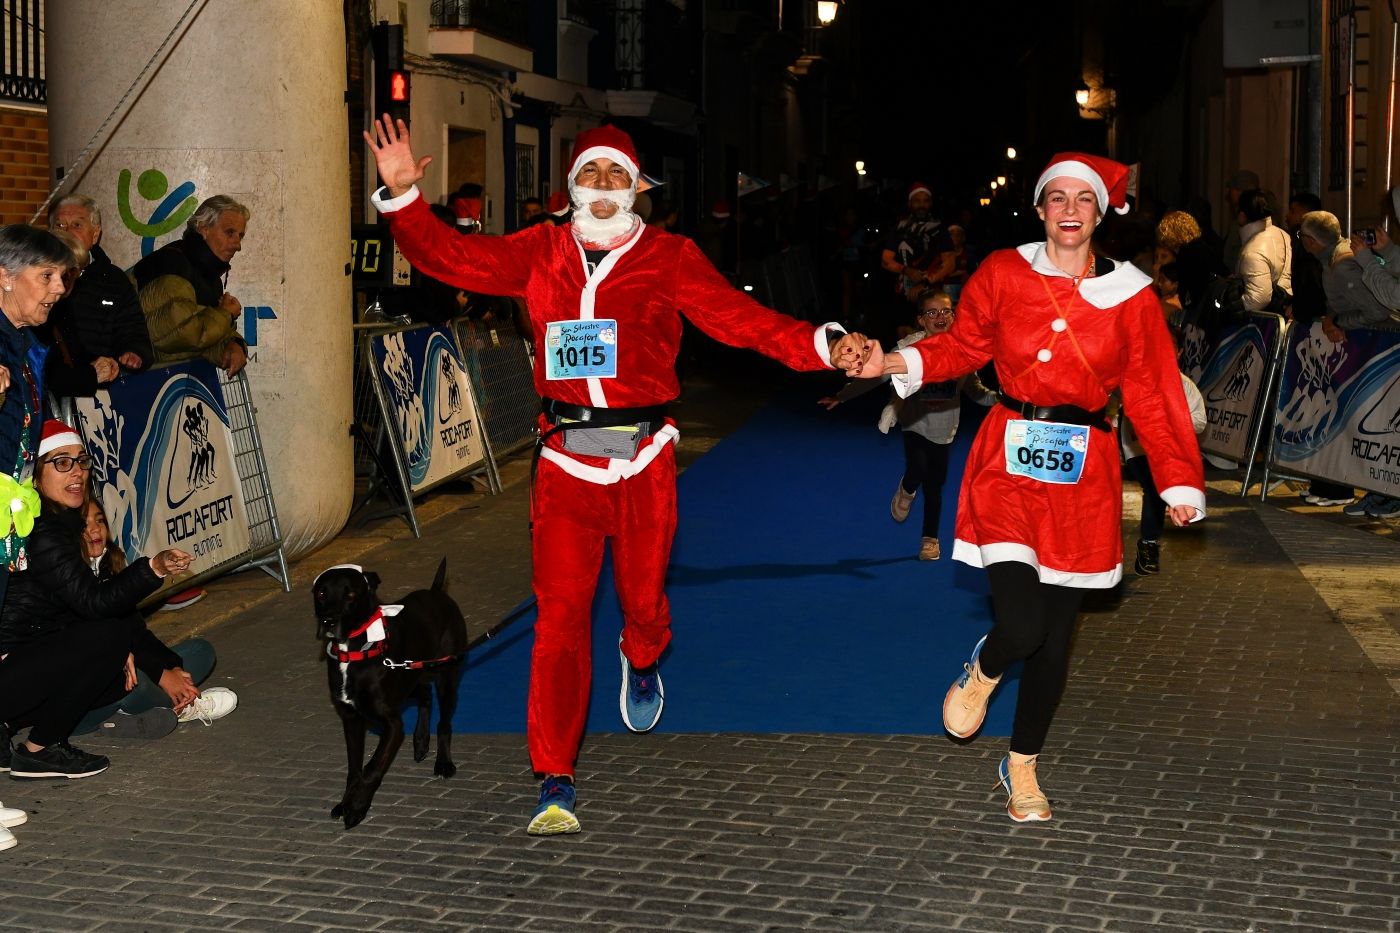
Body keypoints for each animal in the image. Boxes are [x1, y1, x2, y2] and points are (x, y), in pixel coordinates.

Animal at [315, 554, 467, 823]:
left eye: (350, 594)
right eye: (322, 593)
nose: (328, 621)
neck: (353, 652)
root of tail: (437, 592)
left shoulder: (393, 725)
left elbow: (372, 768)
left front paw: (357, 807)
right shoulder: (352, 719)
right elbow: (354, 768)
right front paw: (346, 802)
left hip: (446, 676)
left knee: (444, 723)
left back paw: (443, 763)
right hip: (410, 676)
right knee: (425, 694)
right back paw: (420, 741)